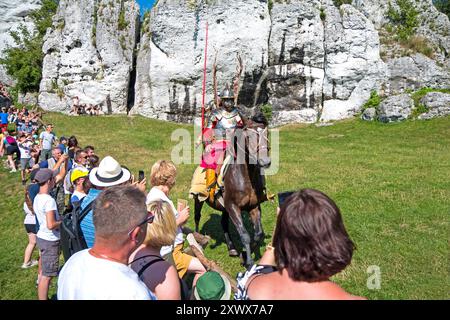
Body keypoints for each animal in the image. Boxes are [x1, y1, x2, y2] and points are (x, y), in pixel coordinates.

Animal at [193, 116, 270, 266]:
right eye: (249, 137)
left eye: (267, 133)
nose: (265, 161)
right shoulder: (233, 206)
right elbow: (245, 235)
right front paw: (248, 261)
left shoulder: (253, 206)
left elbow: (258, 234)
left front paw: (244, 254)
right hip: (198, 198)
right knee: (197, 216)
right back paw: (197, 238)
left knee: (224, 224)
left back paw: (232, 248)